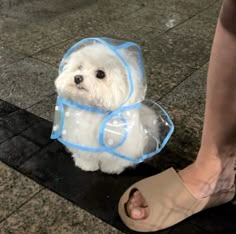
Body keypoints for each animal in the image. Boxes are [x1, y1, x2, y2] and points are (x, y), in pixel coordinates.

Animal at [54, 42, 159, 174]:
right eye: (79, 67)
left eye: (100, 74)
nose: (77, 77)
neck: (95, 111)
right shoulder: (79, 137)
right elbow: (84, 154)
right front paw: (86, 165)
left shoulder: (122, 146)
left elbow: (115, 160)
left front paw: (111, 169)